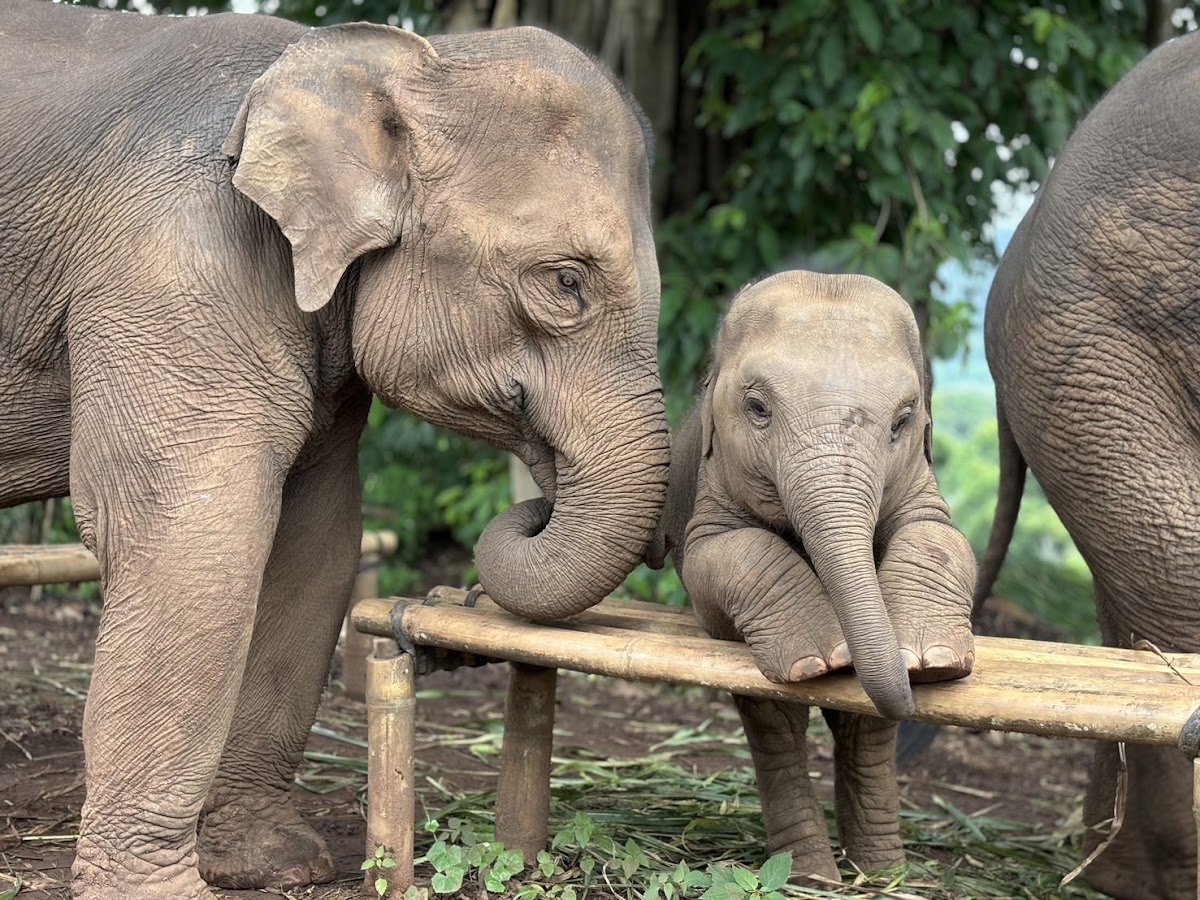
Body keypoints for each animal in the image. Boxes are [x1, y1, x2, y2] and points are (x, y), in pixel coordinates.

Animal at [0, 2, 669, 898]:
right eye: (567, 282)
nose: (535, 501)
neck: (390, 56)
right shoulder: (170, 270)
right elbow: (191, 539)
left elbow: (314, 542)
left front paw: (273, 863)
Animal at [656, 271, 975, 880]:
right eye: (757, 407)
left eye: (904, 420)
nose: (913, 686)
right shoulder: (711, 483)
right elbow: (721, 554)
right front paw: (824, 659)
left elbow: (942, 537)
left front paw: (932, 661)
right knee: (775, 721)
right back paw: (813, 874)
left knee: (864, 726)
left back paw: (881, 871)